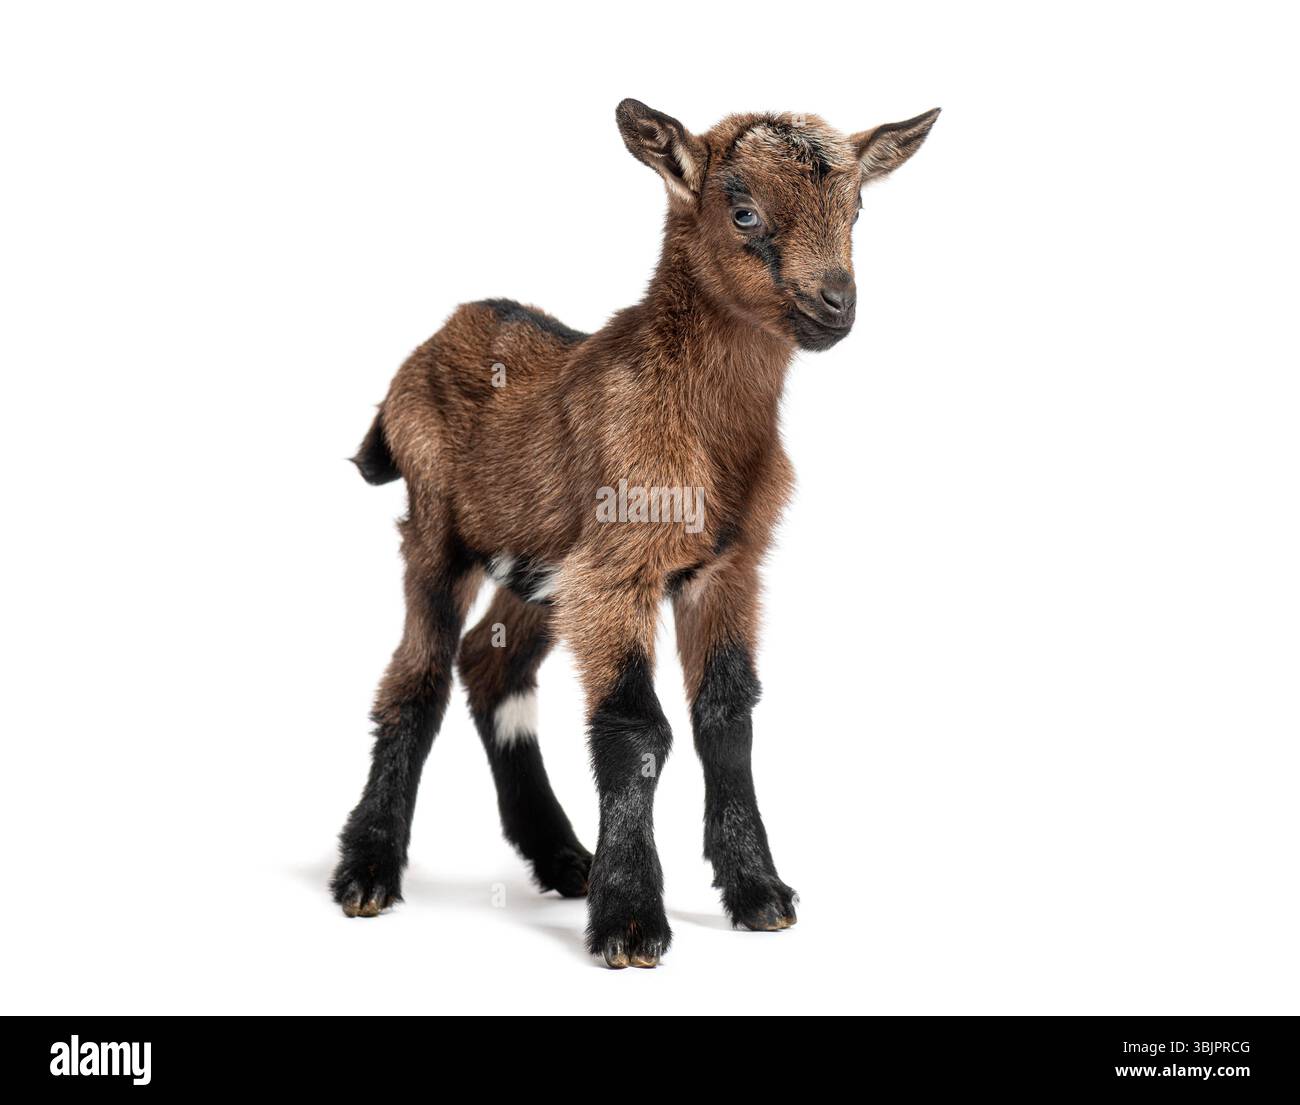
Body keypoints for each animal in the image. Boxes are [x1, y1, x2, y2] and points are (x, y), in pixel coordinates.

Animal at [331, 99, 939, 968]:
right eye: (743, 212)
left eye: (856, 210)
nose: (836, 303)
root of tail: (432, 342)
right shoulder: (619, 570)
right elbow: (635, 728)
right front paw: (629, 920)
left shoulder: (724, 569)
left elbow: (727, 715)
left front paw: (758, 891)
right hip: (437, 532)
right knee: (416, 676)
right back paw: (369, 870)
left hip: (542, 566)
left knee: (491, 665)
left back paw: (560, 856)